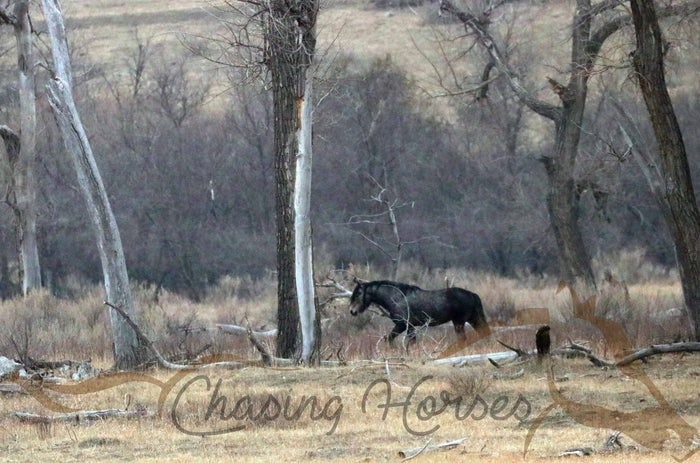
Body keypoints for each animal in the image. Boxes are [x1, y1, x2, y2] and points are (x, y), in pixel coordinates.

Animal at [349, 280, 488, 345]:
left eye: (359, 293)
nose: (352, 311)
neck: (397, 298)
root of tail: (473, 295)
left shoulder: (402, 325)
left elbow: (390, 339)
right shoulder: (410, 327)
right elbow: (411, 342)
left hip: (459, 322)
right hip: (472, 319)